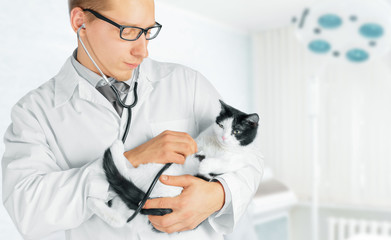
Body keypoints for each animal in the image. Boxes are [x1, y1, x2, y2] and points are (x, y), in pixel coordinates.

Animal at [89, 99, 264, 234]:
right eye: (221, 126)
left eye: (236, 131)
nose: (224, 137)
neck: (217, 146)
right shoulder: (197, 142)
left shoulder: (239, 161)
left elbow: (225, 164)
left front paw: (204, 164)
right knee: (118, 214)